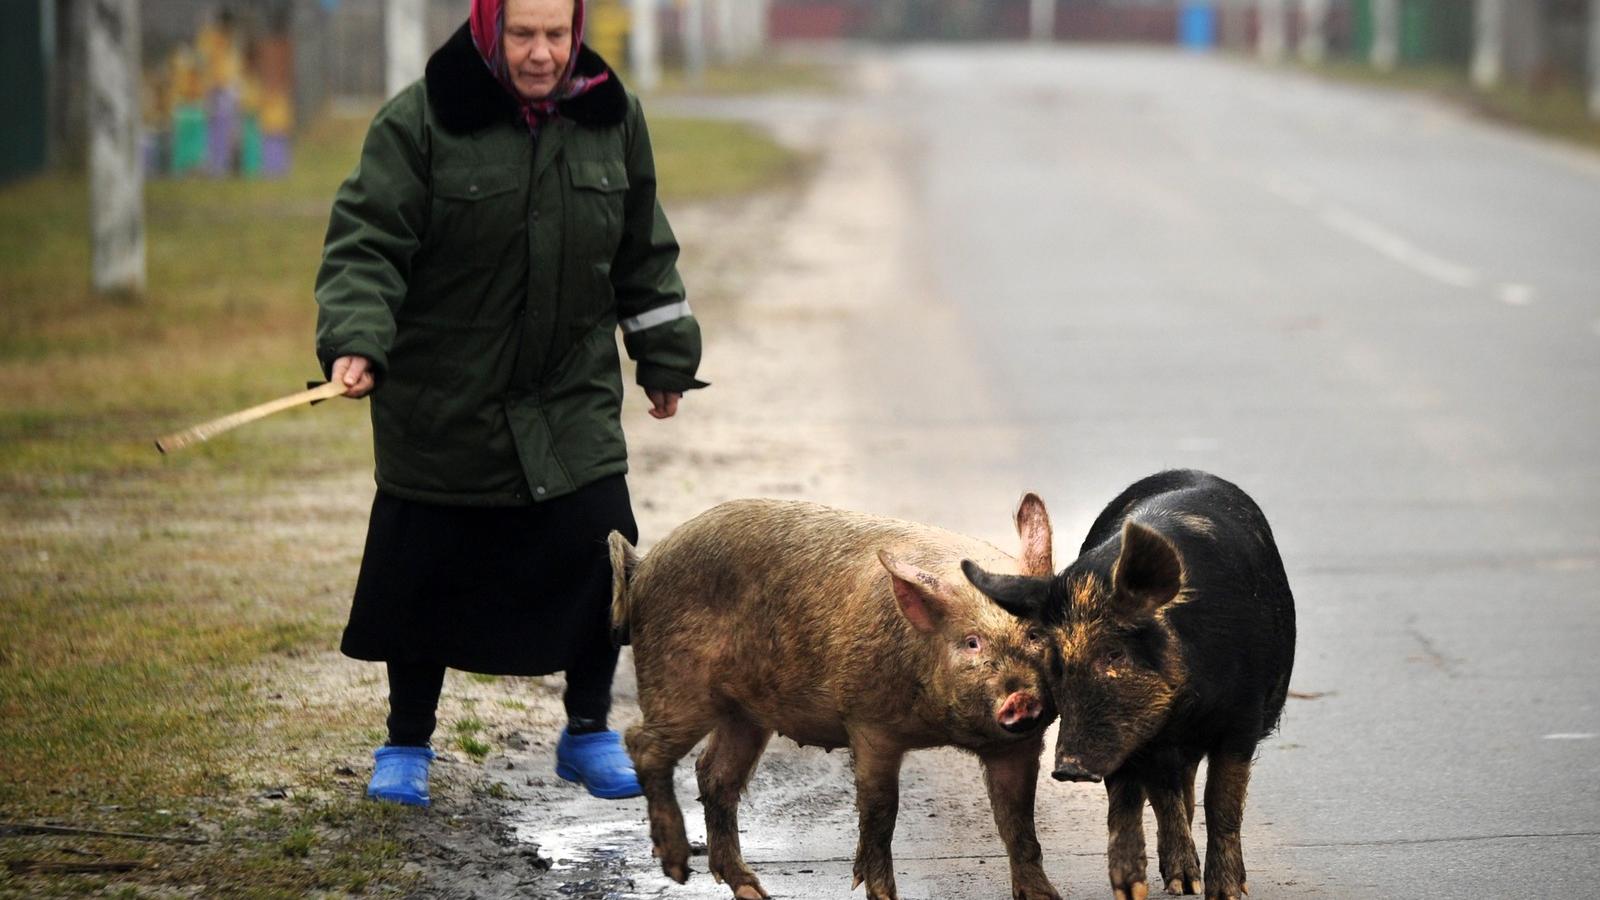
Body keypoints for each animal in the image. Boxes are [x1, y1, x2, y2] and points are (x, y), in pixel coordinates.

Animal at [960, 470, 1286, 896]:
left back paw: (1191, 884)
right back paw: (1181, 882)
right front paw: (1130, 890)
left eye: (1114, 654)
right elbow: (1126, 798)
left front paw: (1226, 894)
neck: (1184, 705)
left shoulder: (1243, 717)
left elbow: (1222, 802)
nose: (1068, 767)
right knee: (1168, 792)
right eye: (1055, 661)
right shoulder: (1127, 736)